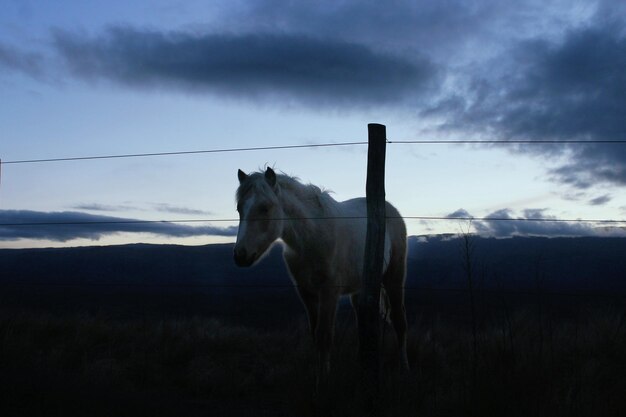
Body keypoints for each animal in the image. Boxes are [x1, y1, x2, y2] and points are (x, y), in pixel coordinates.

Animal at [232, 167, 408, 376]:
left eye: (265, 208)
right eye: (239, 208)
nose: (240, 255)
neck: (312, 237)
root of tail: (392, 210)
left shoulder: (329, 293)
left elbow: (324, 337)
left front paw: (323, 379)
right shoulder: (306, 293)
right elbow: (315, 336)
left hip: (394, 278)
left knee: (399, 321)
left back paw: (404, 368)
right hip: (360, 288)